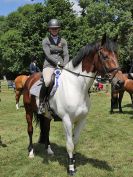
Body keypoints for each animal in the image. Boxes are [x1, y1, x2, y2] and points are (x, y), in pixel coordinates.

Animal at [22, 33, 125, 176]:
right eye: (105, 56)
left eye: (117, 55)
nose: (120, 82)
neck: (76, 86)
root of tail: (29, 79)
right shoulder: (67, 120)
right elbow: (70, 144)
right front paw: (71, 168)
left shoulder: (81, 120)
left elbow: (75, 142)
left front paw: (74, 164)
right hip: (28, 111)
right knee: (30, 130)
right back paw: (31, 152)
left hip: (46, 116)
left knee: (46, 130)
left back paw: (49, 150)